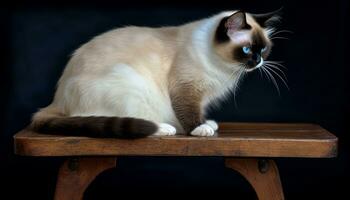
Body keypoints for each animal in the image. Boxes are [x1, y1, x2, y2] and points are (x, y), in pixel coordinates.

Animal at [30, 10, 282, 138]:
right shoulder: (185, 88)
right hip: (131, 83)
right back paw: (164, 129)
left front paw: (207, 122)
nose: (258, 61)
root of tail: (57, 100)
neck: (224, 69)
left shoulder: (199, 96)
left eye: (263, 49)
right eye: (247, 50)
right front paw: (200, 128)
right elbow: (187, 112)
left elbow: (195, 111)